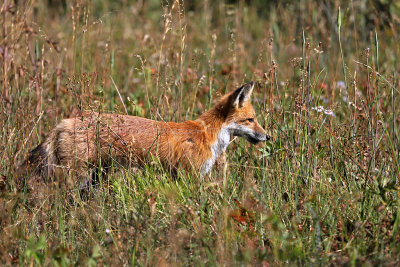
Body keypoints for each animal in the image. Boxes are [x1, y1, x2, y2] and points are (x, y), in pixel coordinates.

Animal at [25, 81, 268, 182]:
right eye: (251, 120)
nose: (268, 136)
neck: (208, 135)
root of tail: (65, 121)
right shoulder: (188, 175)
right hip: (76, 177)